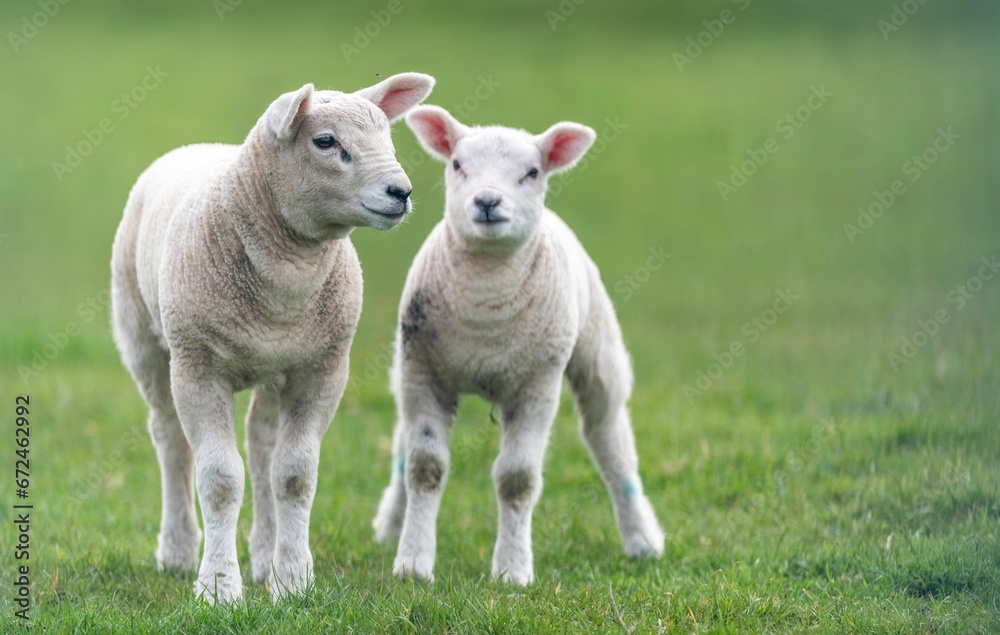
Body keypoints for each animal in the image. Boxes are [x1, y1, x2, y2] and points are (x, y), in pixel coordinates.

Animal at [111, 72, 436, 604]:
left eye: (386, 135)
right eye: (325, 141)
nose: (401, 191)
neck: (287, 282)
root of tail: (198, 146)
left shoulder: (324, 368)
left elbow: (295, 475)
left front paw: (294, 580)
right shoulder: (198, 366)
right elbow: (220, 479)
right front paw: (219, 587)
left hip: (271, 366)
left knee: (262, 447)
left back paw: (264, 556)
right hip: (144, 339)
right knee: (170, 439)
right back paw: (177, 551)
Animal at [374, 105, 664, 588]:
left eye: (532, 172)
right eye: (457, 164)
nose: (488, 201)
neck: (485, 317)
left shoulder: (536, 385)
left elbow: (517, 479)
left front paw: (512, 570)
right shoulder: (423, 374)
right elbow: (424, 468)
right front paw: (413, 562)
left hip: (597, 352)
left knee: (610, 439)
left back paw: (642, 539)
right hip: (407, 368)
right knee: (400, 442)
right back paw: (390, 523)